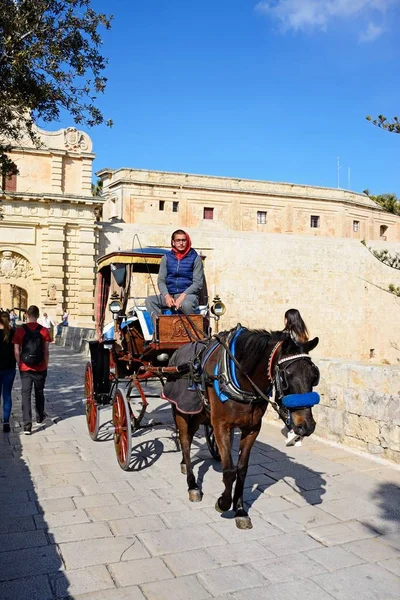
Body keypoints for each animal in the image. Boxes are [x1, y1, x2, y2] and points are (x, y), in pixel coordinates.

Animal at [170, 328, 320, 528]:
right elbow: (229, 471)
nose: (307, 426)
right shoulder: (221, 425)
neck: (240, 378)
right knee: (185, 441)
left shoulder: (252, 428)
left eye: (314, 376)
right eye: (287, 376)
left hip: (200, 414)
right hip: (183, 411)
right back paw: (192, 485)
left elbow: (241, 469)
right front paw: (223, 503)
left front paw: (240, 509)